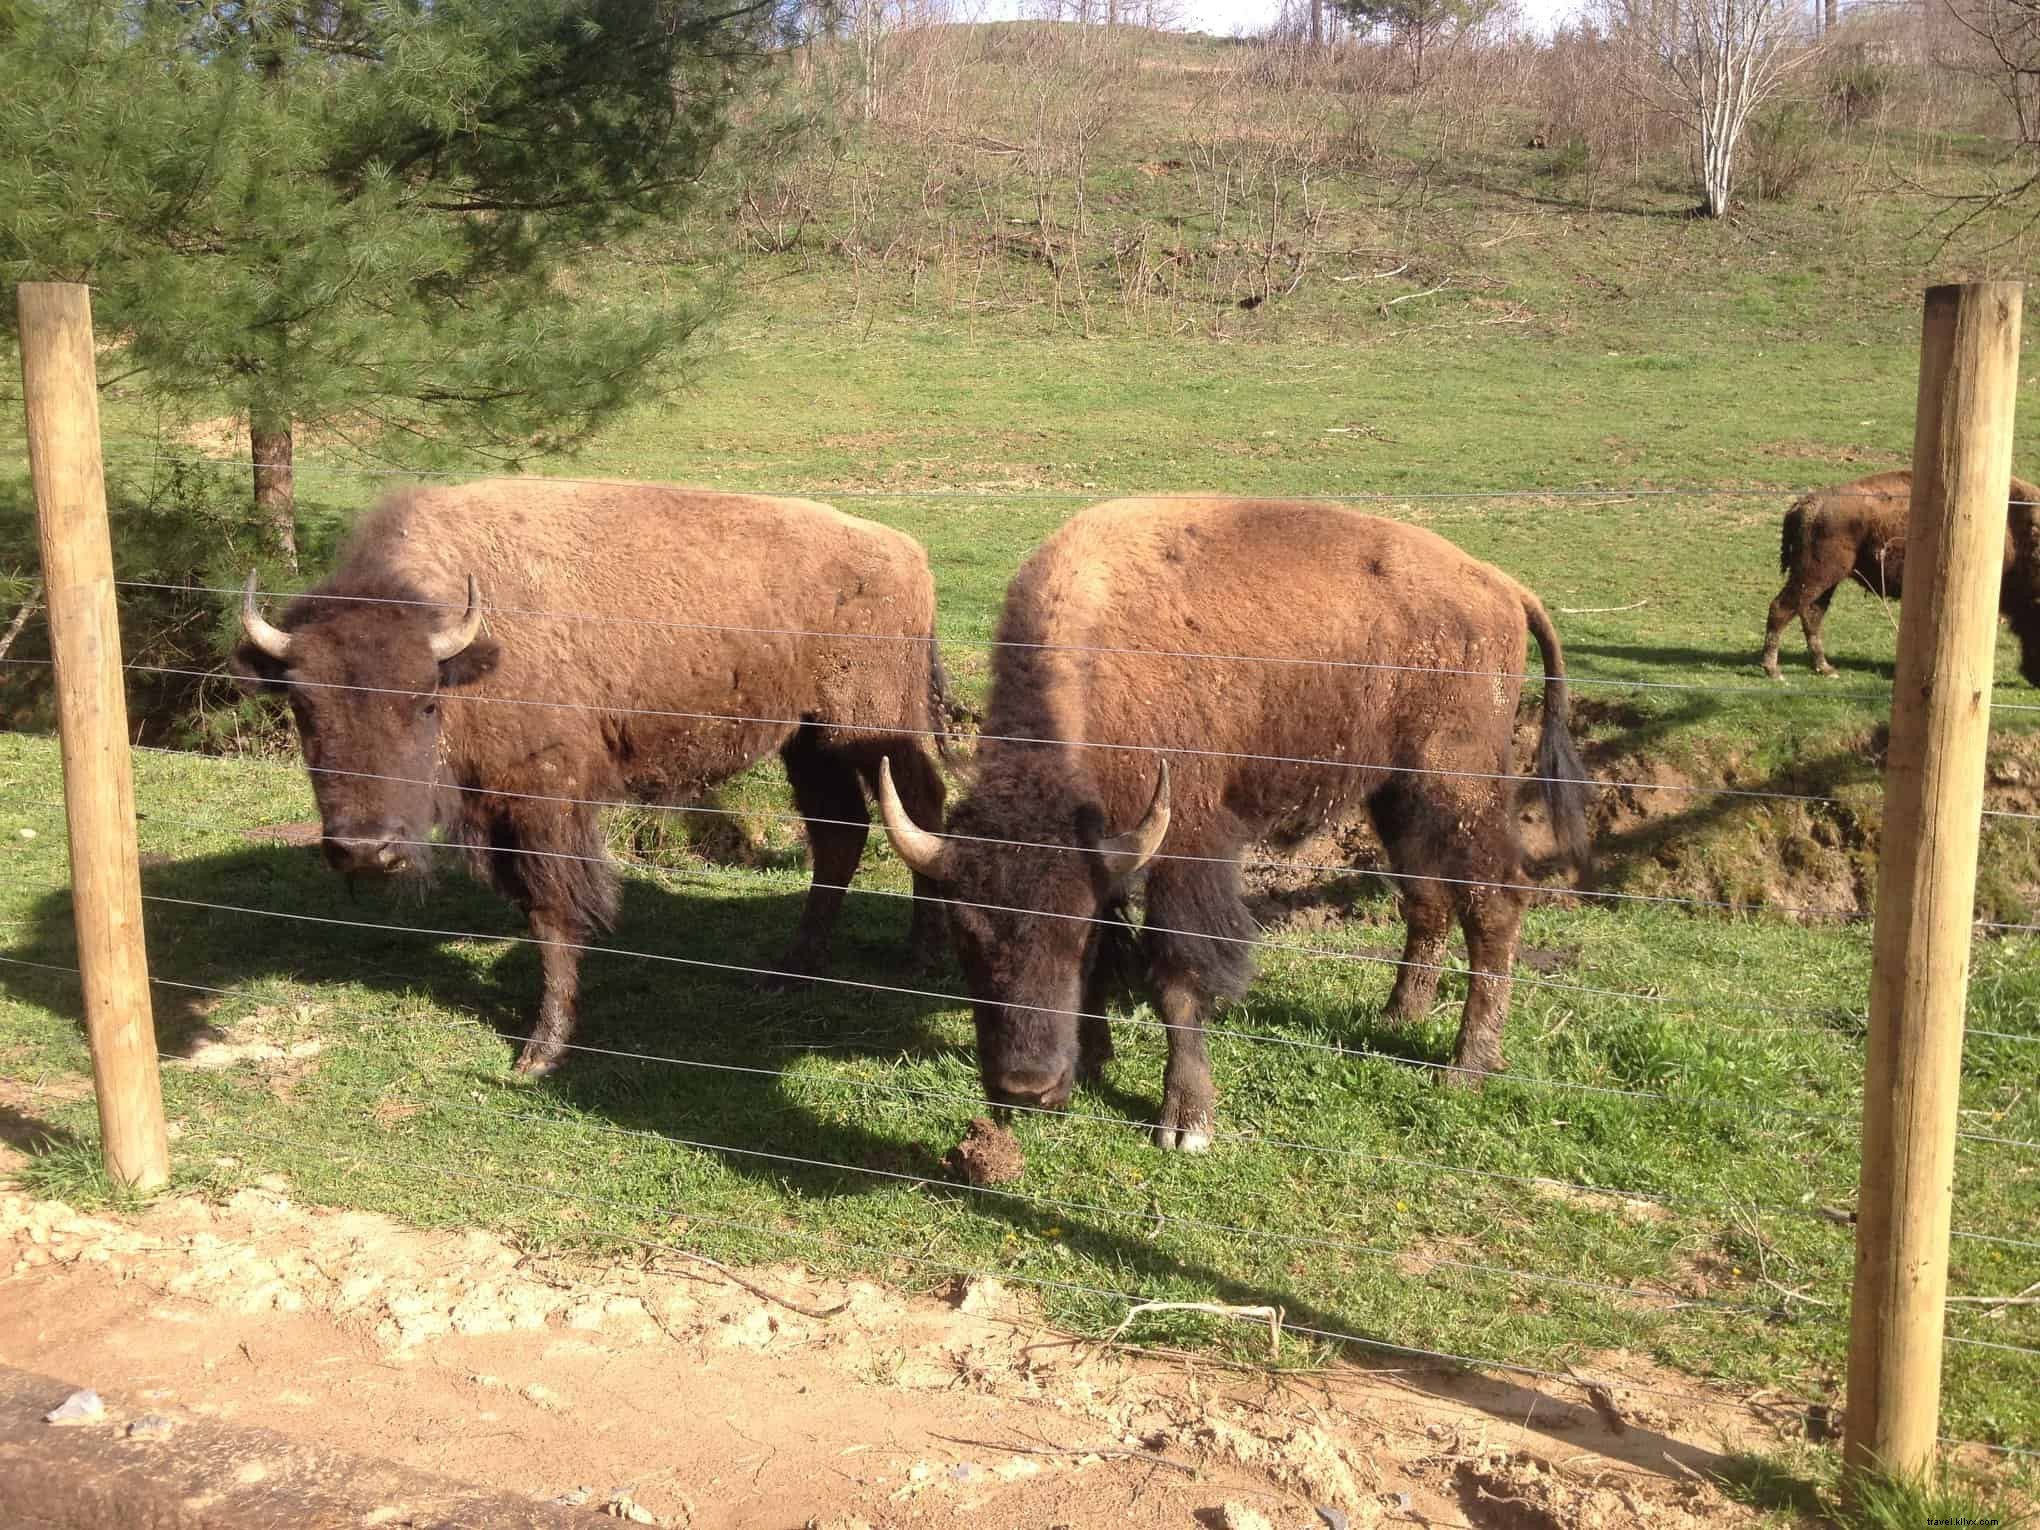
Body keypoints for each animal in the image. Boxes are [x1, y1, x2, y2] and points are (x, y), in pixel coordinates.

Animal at [231, 477, 951, 1074]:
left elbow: (553, 912)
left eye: (423, 700)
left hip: (866, 726)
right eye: (301, 705)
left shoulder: (546, 804)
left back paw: (918, 956)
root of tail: (905, 550)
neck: (470, 651)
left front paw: (541, 1051)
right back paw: (790, 971)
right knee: (839, 834)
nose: (363, 851)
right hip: (806, 739)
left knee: (918, 804)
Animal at [876, 498, 1591, 1151]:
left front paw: (1185, 1122)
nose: (1024, 1088)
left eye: (1069, 934)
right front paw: (1097, 1057)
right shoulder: (1110, 851)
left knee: (1493, 903)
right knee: (1427, 898)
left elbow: (1178, 977)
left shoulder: (1183, 847)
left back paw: (1465, 1069)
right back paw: (1400, 1016)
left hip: (1457, 786)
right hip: (1397, 794)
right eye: (964, 933)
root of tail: (1499, 585)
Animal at [1760, 469, 2040, 683]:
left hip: (1825, 579)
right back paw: (1774, 671)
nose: (2033, 679)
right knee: (1782, 608)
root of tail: (1806, 504)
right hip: (1817, 574)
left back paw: (1825, 668)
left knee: (1810, 614)